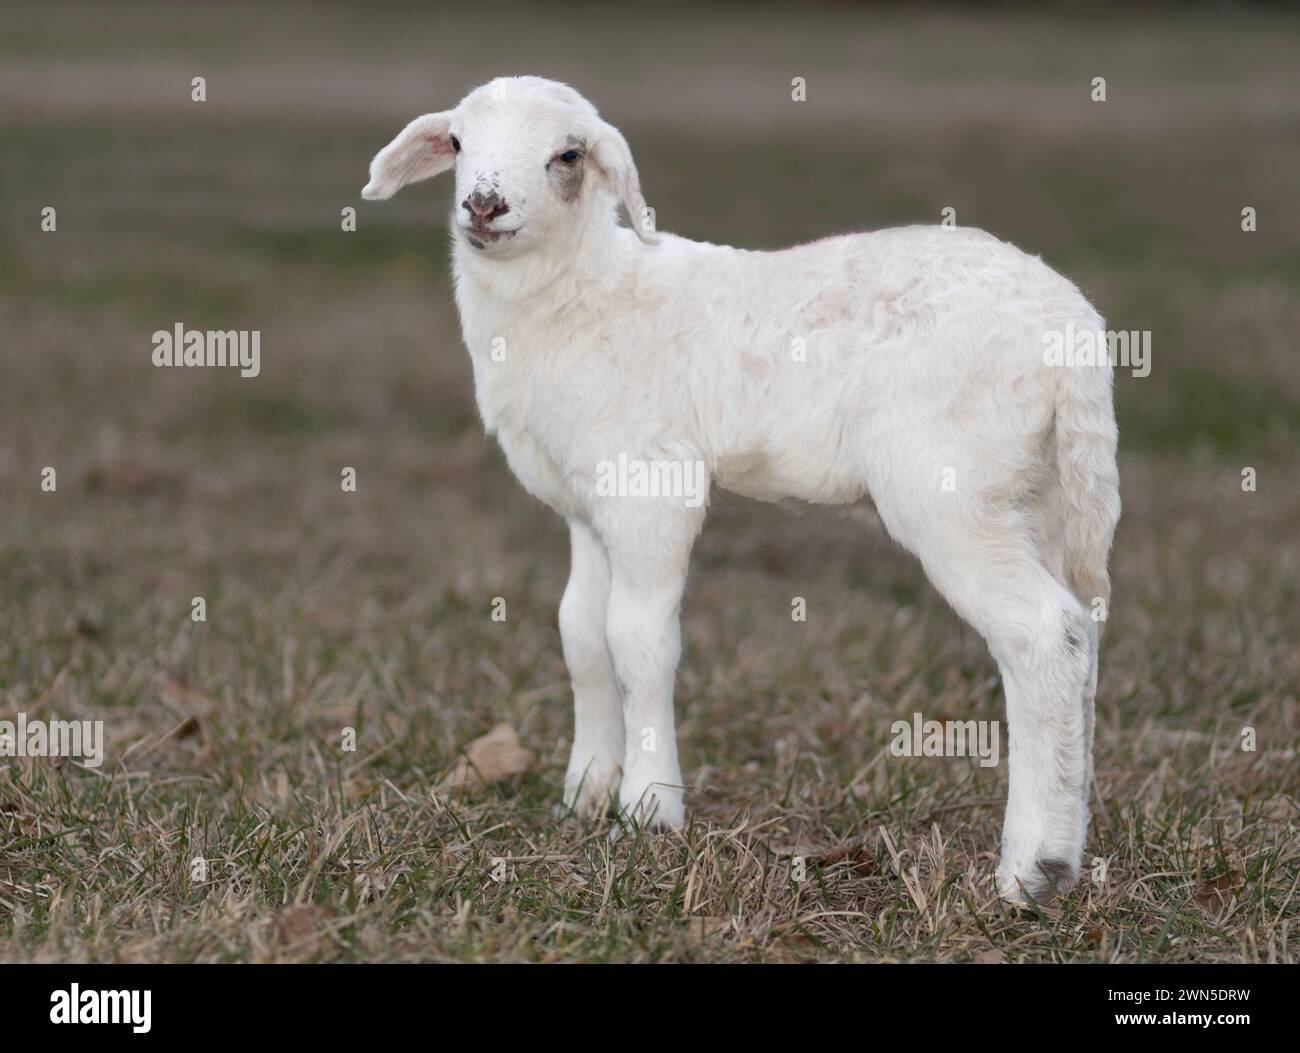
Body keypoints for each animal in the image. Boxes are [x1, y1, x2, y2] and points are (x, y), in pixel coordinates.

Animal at [364, 73, 1118, 899]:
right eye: (457, 142)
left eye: (568, 154)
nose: (485, 204)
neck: (586, 294)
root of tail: (1073, 330)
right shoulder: (589, 505)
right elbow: (581, 635)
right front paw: (583, 793)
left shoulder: (651, 486)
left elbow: (639, 642)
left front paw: (648, 808)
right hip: (1041, 493)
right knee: (1082, 636)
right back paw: (1069, 834)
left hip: (950, 484)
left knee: (1042, 635)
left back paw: (1031, 871)